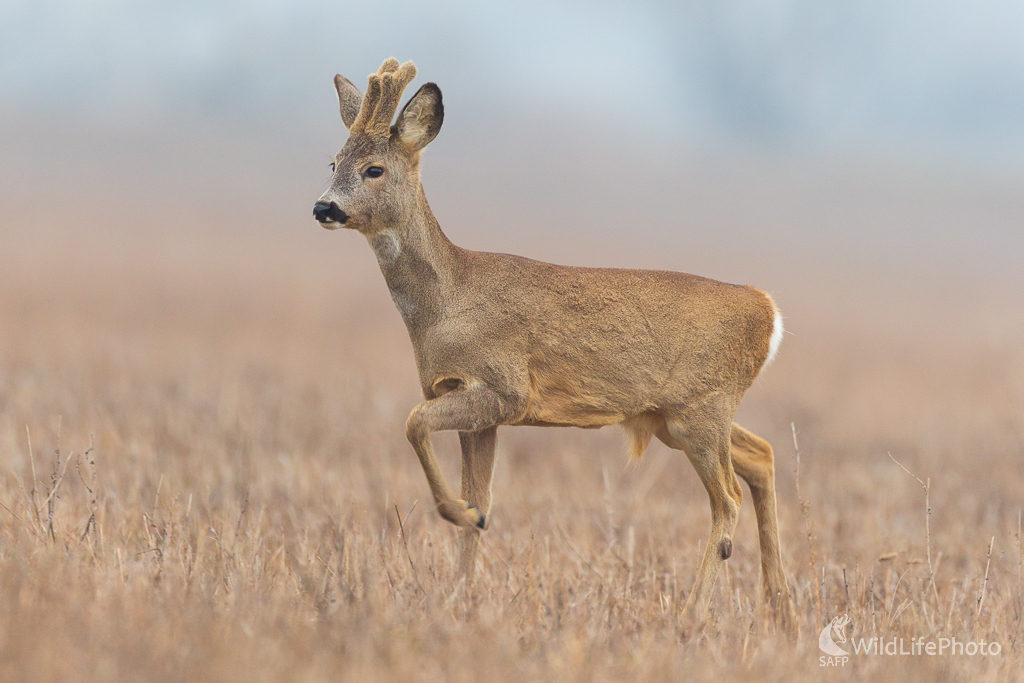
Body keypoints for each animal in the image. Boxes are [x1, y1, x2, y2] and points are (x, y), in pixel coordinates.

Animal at [315, 58, 794, 634]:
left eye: (374, 170)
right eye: (333, 160)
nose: (323, 207)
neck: (449, 299)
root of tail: (767, 310)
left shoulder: (506, 388)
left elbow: (413, 424)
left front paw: (457, 517)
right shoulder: (470, 402)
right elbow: (481, 492)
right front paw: (461, 589)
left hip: (701, 410)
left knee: (727, 500)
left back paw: (691, 614)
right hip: (676, 415)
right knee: (761, 456)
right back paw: (781, 608)